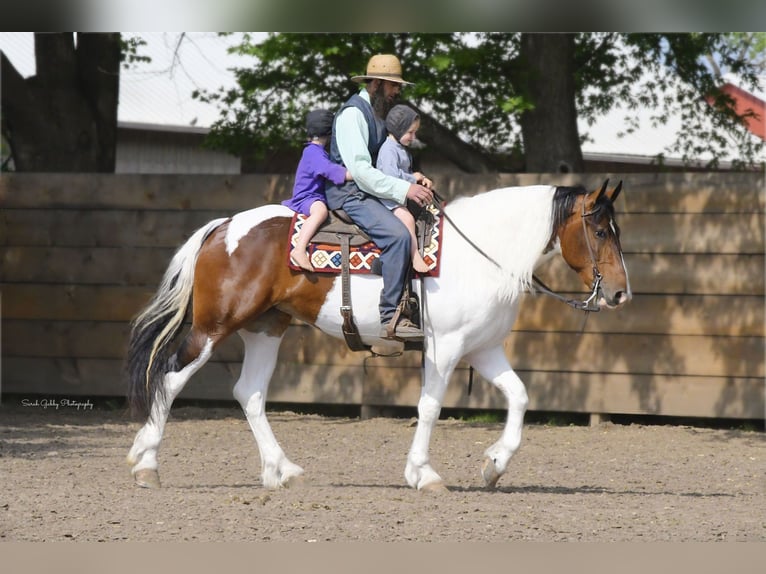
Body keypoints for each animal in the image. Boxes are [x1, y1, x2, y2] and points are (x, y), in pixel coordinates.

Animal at [124, 181, 632, 496]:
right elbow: (430, 407)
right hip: (214, 327)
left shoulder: (483, 349)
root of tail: (225, 226)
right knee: (170, 380)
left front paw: (494, 465)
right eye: (600, 230)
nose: (620, 293)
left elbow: (520, 396)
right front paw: (424, 474)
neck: (482, 254)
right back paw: (147, 465)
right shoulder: (445, 347)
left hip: (267, 327)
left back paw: (283, 471)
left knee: (249, 393)